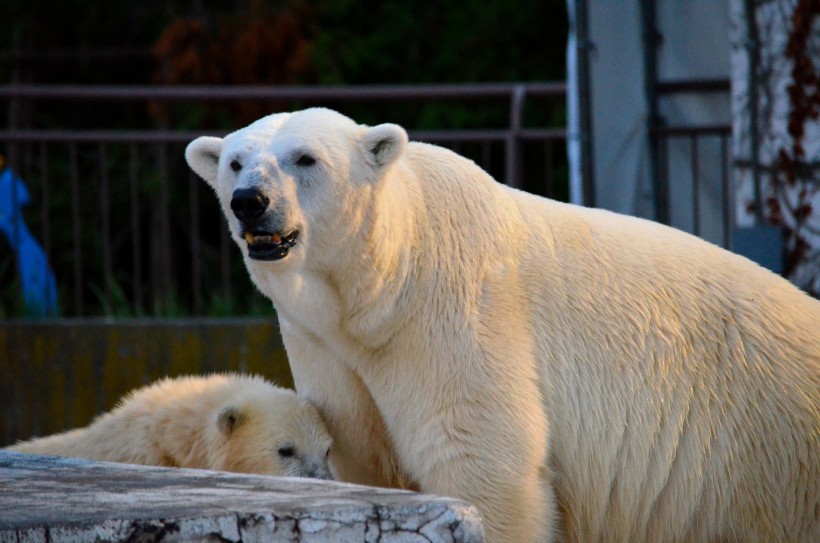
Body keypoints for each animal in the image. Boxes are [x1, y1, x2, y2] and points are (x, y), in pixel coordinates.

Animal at [186, 107, 820, 543]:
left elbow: (483, 459)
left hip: (766, 456)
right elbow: (365, 453)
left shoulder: (453, 312)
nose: (250, 200)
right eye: (235, 162)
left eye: (306, 159)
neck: (384, 279)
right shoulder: (326, 347)